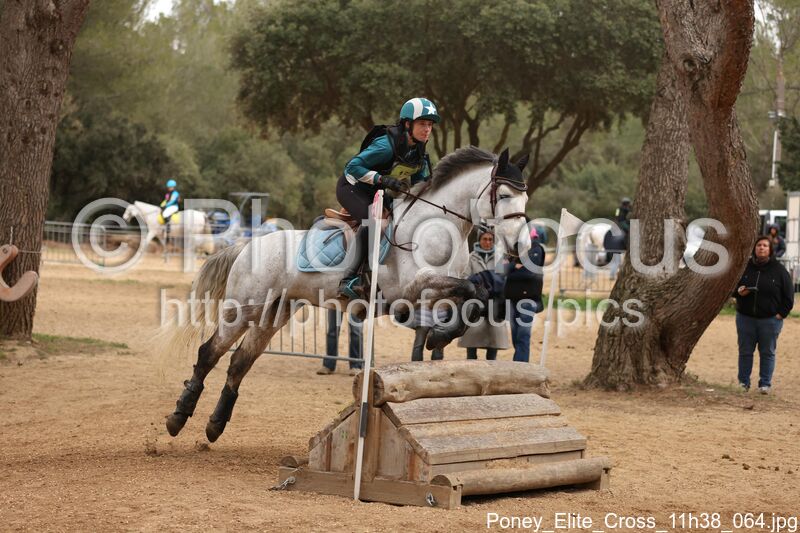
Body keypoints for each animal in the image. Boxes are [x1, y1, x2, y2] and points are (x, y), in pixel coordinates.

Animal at [161, 146, 531, 442]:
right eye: (505, 196)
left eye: (526, 198)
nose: (519, 247)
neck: (435, 227)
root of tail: (248, 245)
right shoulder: (415, 286)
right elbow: (470, 290)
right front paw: (438, 337)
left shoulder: (439, 290)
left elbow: (475, 298)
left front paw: (440, 337)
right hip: (244, 308)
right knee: (209, 352)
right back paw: (178, 417)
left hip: (274, 313)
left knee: (239, 362)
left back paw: (215, 425)